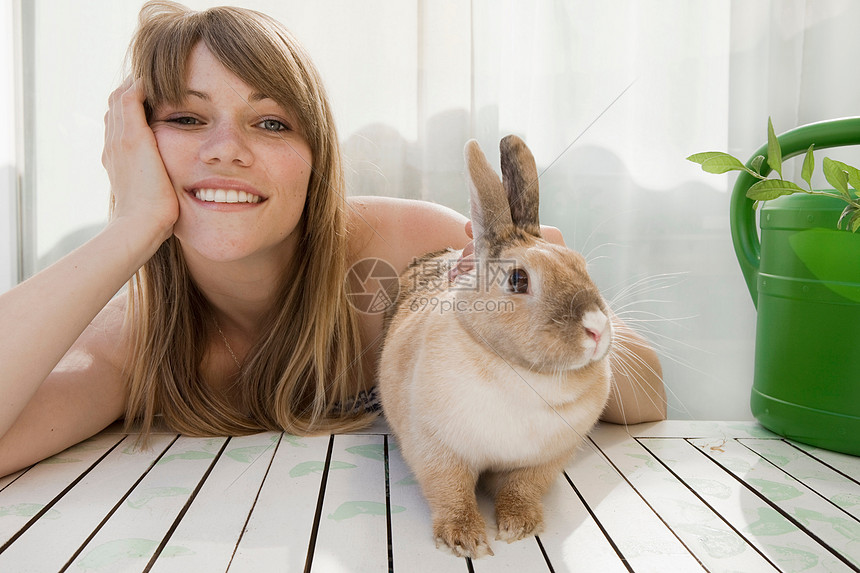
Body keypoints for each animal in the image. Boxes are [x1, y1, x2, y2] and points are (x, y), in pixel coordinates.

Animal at [380, 132, 616, 556]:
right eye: (519, 280)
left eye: (580, 264)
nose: (596, 329)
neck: (526, 376)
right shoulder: (436, 449)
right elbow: (450, 492)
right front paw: (465, 539)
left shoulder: (543, 461)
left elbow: (522, 489)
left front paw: (518, 526)